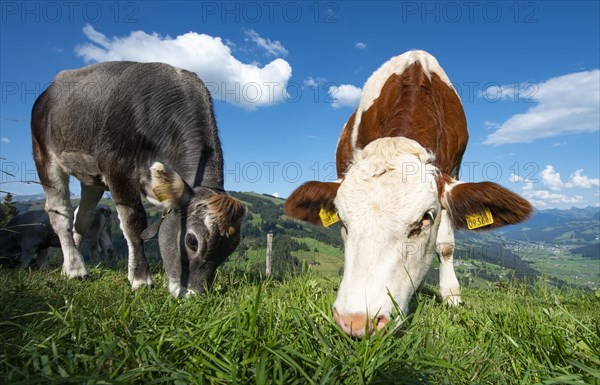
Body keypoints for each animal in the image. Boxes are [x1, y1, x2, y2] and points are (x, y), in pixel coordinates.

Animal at [29, 60, 246, 296]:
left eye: (228, 251)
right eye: (192, 241)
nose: (193, 296)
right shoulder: (116, 167)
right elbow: (134, 222)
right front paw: (141, 279)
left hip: (92, 177)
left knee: (82, 217)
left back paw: (68, 266)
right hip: (44, 154)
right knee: (60, 213)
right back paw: (76, 269)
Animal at [284, 51, 532, 336]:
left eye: (424, 219)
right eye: (343, 222)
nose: (356, 322)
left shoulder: (453, 173)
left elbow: (445, 245)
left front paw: (451, 296)